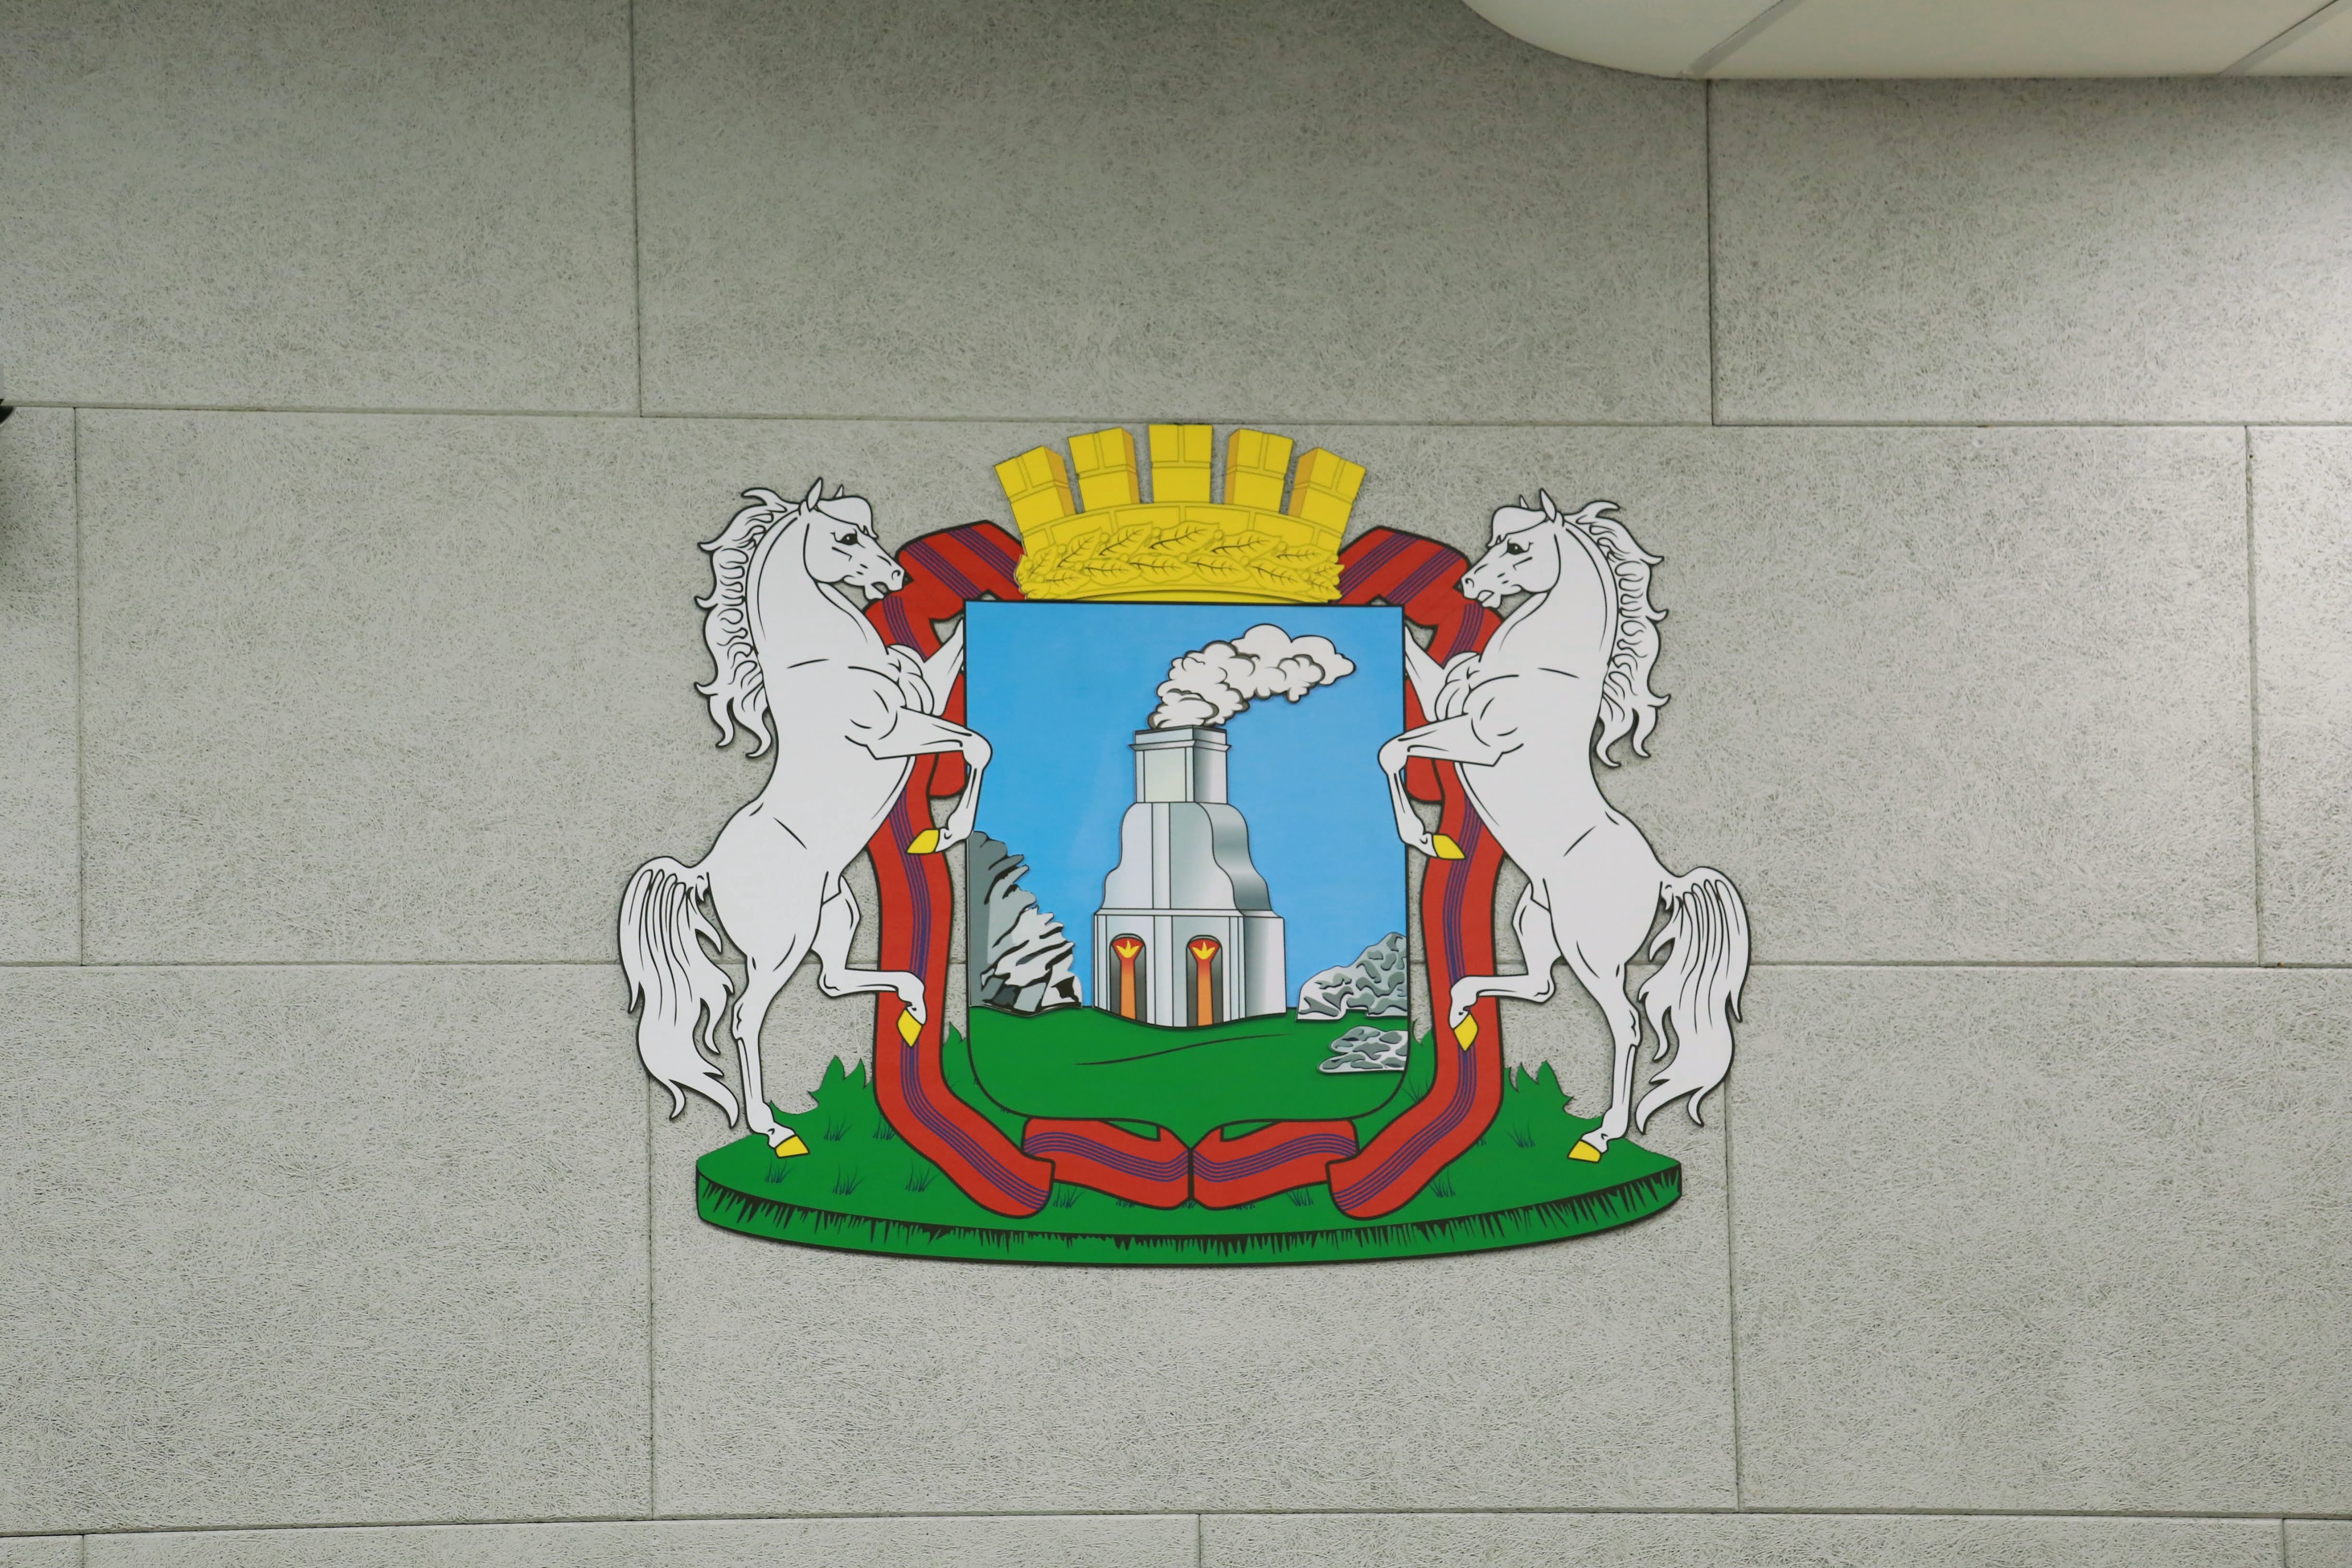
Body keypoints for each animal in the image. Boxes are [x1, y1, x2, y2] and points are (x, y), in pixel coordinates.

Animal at [619, 481, 990, 1156]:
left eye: (870, 529)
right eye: (843, 537)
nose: (896, 576)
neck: (827, 661)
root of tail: (704, 870)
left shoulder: (920, 696)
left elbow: (952, 666)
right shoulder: (891, 734)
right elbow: (977, 745)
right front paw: (942, 835)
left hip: (836, 911)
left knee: (834, 981)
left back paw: (913, 1008)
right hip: (781, 944)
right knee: (747, 1016)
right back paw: (776, 1131)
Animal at [1377, 492, 1749, 1161]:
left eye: (1518, 546)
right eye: (1492, 538)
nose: (1468, 585)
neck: (1539, 669)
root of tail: (1664, 879)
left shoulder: (1477, 741)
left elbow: (1392, 749)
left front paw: (1426, 838)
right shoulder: (1447, 704)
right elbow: (1414, 679)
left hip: (1589, 951)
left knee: (1624, 1022)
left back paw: (1599, 1135)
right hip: (1534, 917)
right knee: (1538, 987)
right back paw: (1461, 1013)